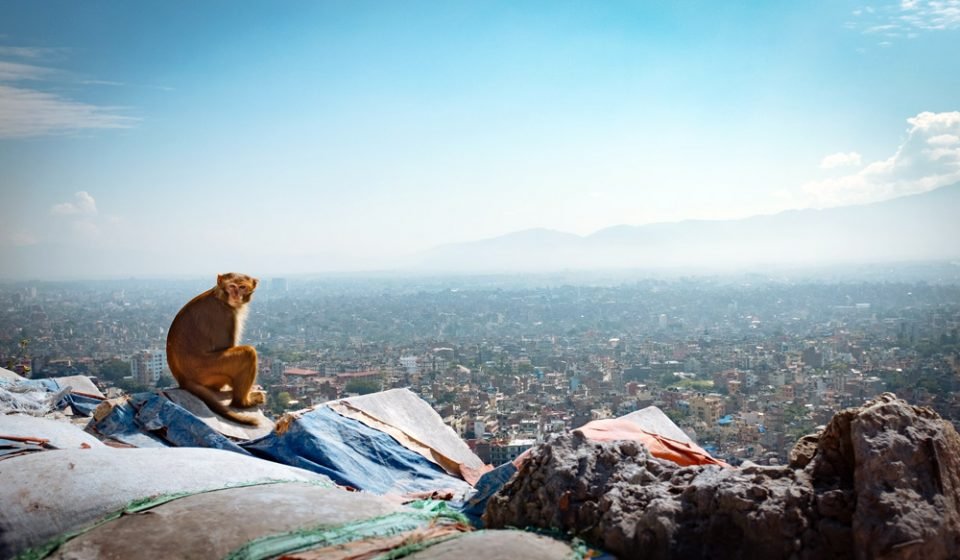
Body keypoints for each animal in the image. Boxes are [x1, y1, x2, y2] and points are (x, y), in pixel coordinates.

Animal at [164, 272, 262, 424]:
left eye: (242, 287)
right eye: (232, 286)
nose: (235, 295)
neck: (221, 297)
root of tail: (183, 380)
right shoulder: (226, 316)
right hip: (207, 372)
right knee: (248, 353)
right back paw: (242, 402)